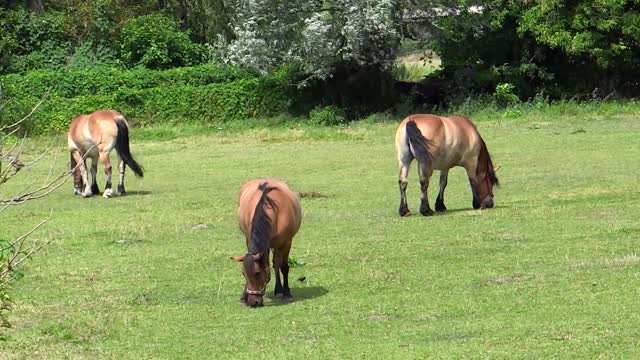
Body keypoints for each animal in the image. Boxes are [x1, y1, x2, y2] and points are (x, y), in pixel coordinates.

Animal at [231, 179, 302, 308]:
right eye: (243, 274)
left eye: (257, 273)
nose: (253, 302)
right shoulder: (251, 239)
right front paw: (243, 298)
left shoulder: (286, 242)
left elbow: (284, 267)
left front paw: (286, 293)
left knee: (276, 264)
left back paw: (279, 290)